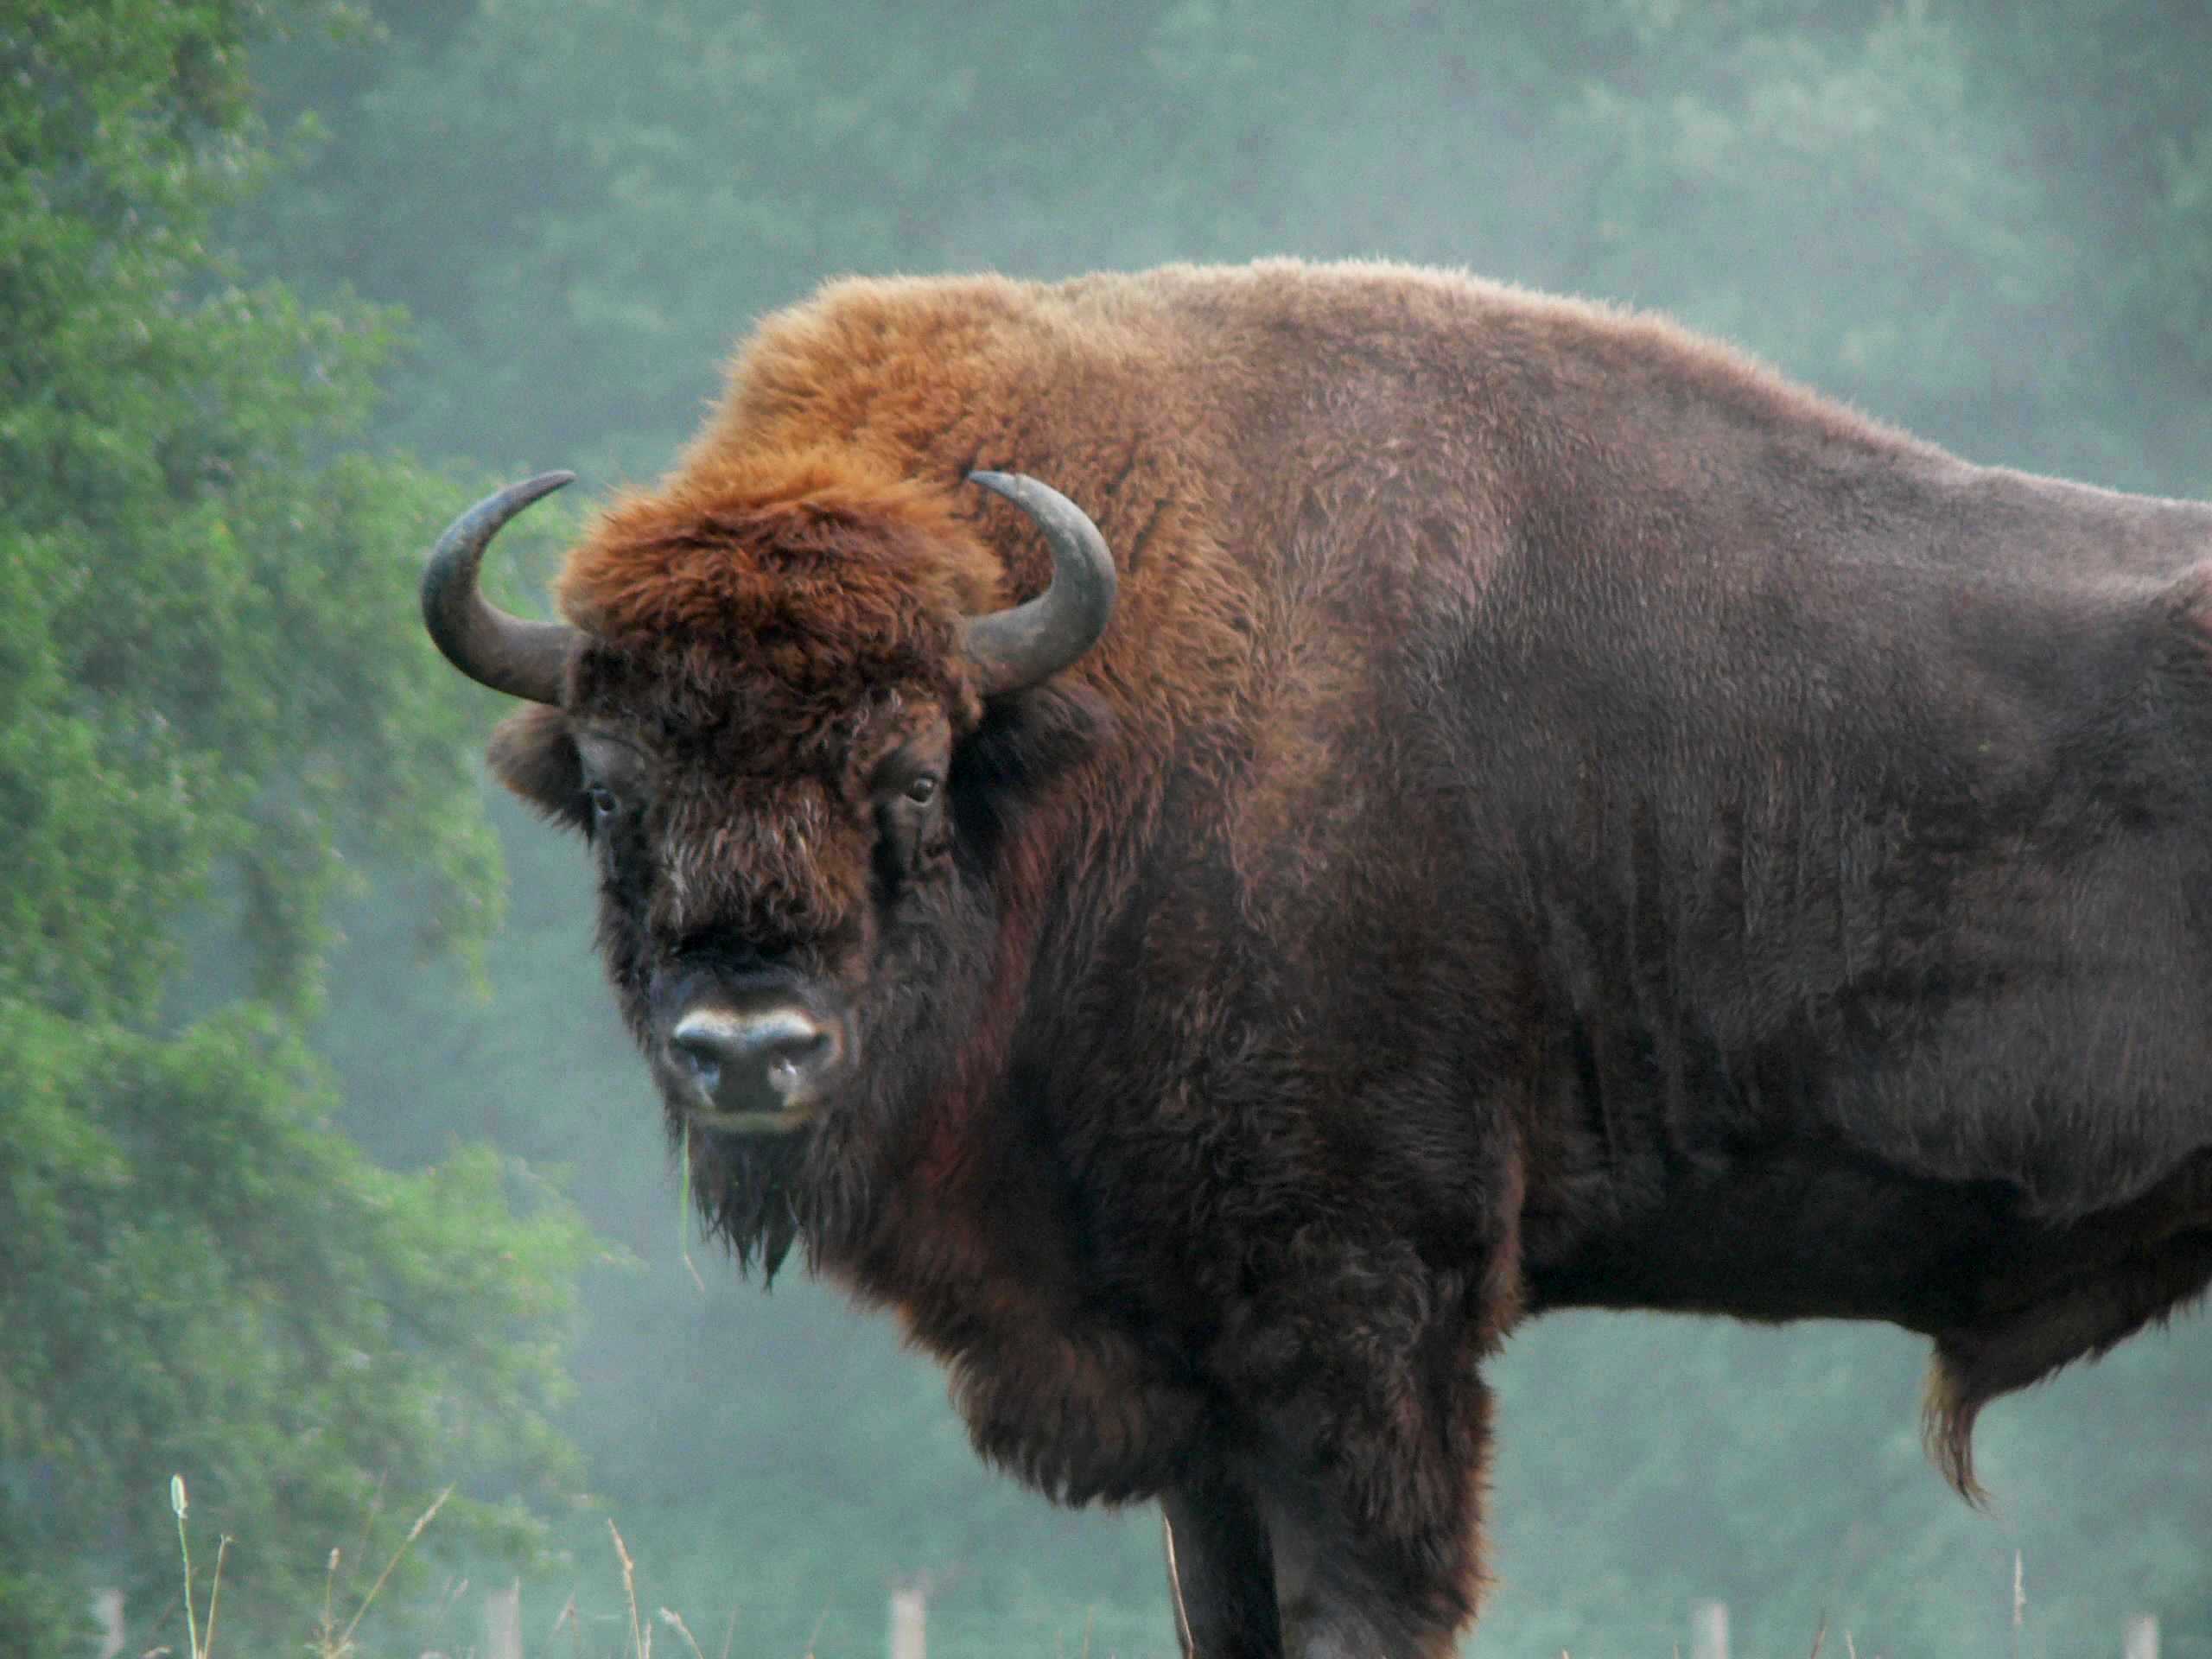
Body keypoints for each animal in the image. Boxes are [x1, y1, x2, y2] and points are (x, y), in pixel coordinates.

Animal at [420, 260, 2212, 1658]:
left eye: (913, 778)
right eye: (613, 792)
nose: (749, 1049)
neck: (1099, 736)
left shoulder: (1359, 1318)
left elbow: (1363, 1599)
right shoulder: (1195, 1375)